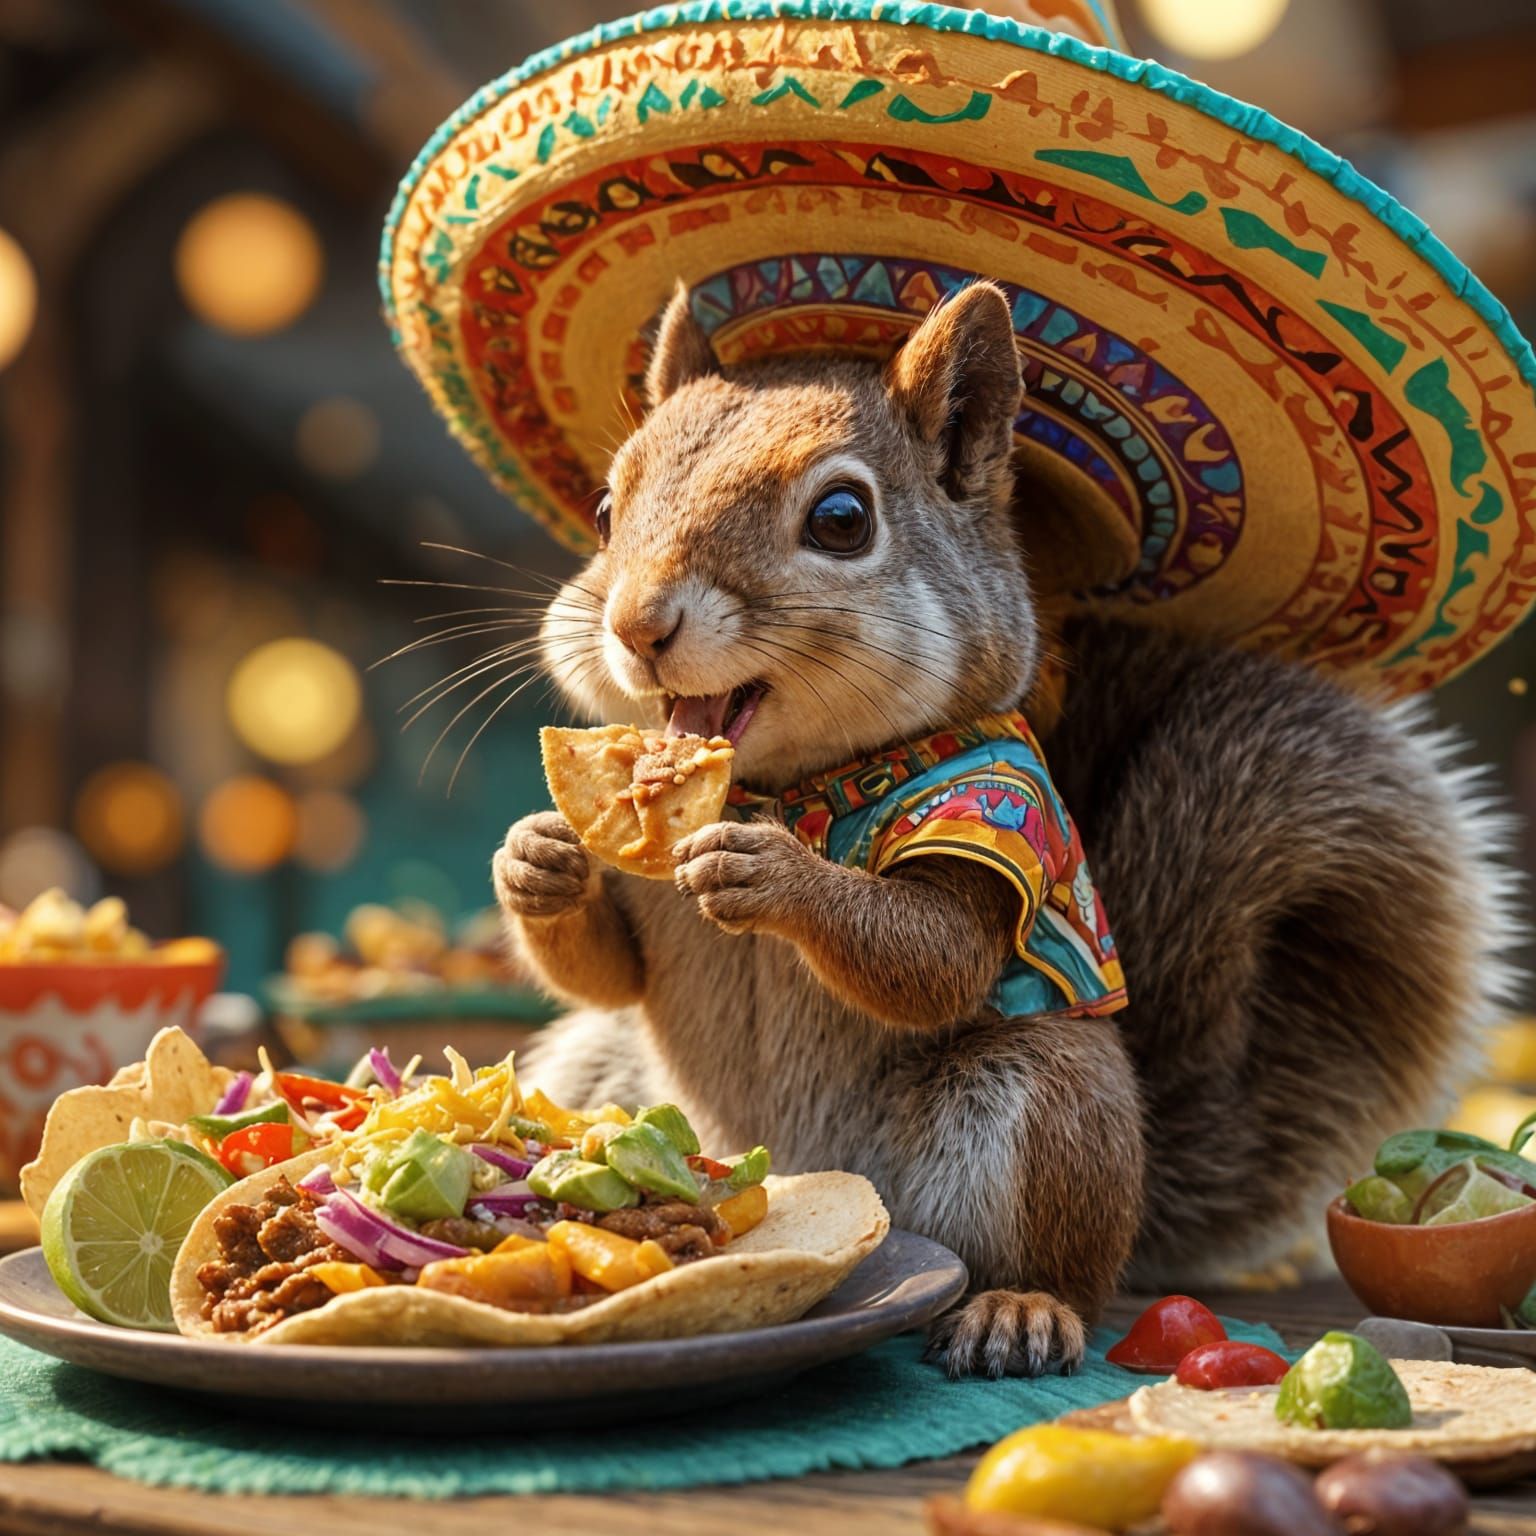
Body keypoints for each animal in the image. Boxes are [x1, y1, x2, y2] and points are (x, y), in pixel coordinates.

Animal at [493, 280, 1520, 1377]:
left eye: (842, 519)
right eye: (606, 510)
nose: (637, 626)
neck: (787, 786)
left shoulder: (1001, 815)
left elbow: (935, 957)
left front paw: (773, 875)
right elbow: (608, 969)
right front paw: (536, 859)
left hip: (1045, 1105)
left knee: (1049, 1261)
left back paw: (1020, 1309)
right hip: (605, 1075)